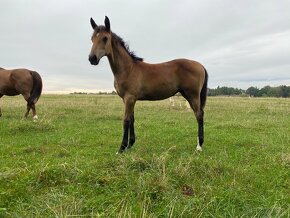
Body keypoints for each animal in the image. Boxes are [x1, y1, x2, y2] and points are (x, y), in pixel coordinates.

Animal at [88, 16, 208, 153]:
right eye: (92, 38)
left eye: (105, 38)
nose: (92, 58)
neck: (128, 69)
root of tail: (200, 65)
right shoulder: (128, 99)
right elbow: (132, 119)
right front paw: (130, 145)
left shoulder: (129, 98)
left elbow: (126, 120)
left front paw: (121, 148)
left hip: (192, 95)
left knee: (199, 114)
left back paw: (199, 146)